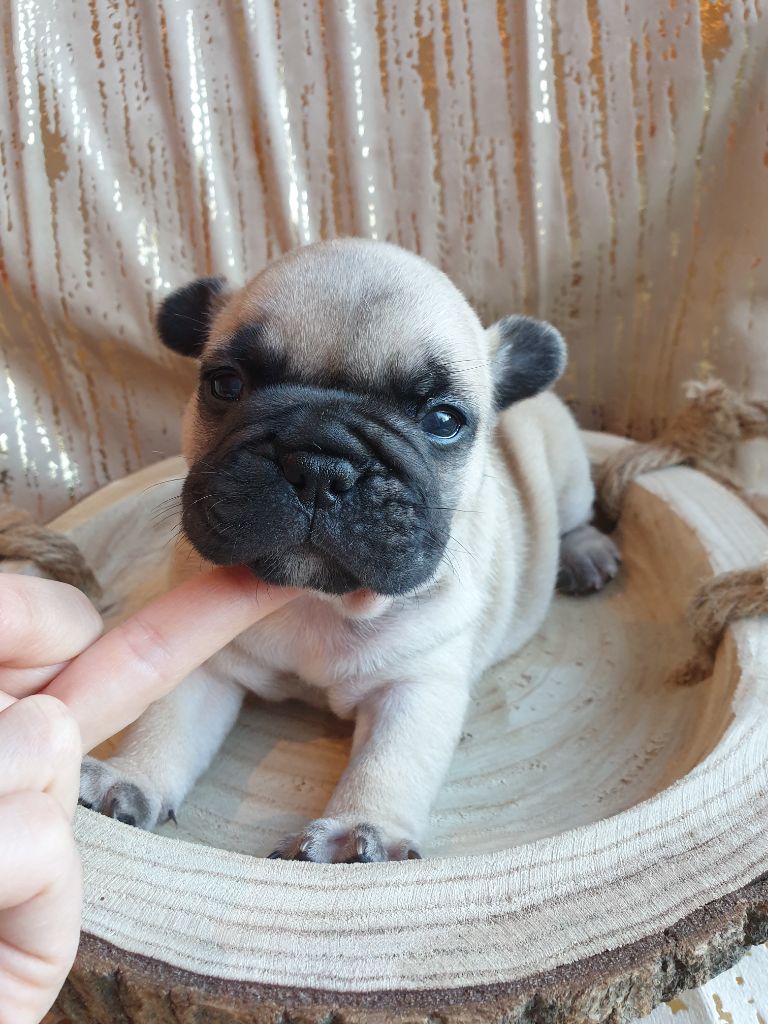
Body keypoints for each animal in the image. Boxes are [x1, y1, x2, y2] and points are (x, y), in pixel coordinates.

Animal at [79, 239, 619, 862]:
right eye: (225, 384)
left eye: (443, 419)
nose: (319, 463)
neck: (318, 601)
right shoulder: (206, 660)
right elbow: (168, 720)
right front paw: (132, 775)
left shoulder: (417, 684)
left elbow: (388, 763)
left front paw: (358, 830)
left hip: (567, 469)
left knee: (574, 515)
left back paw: (584, 553)